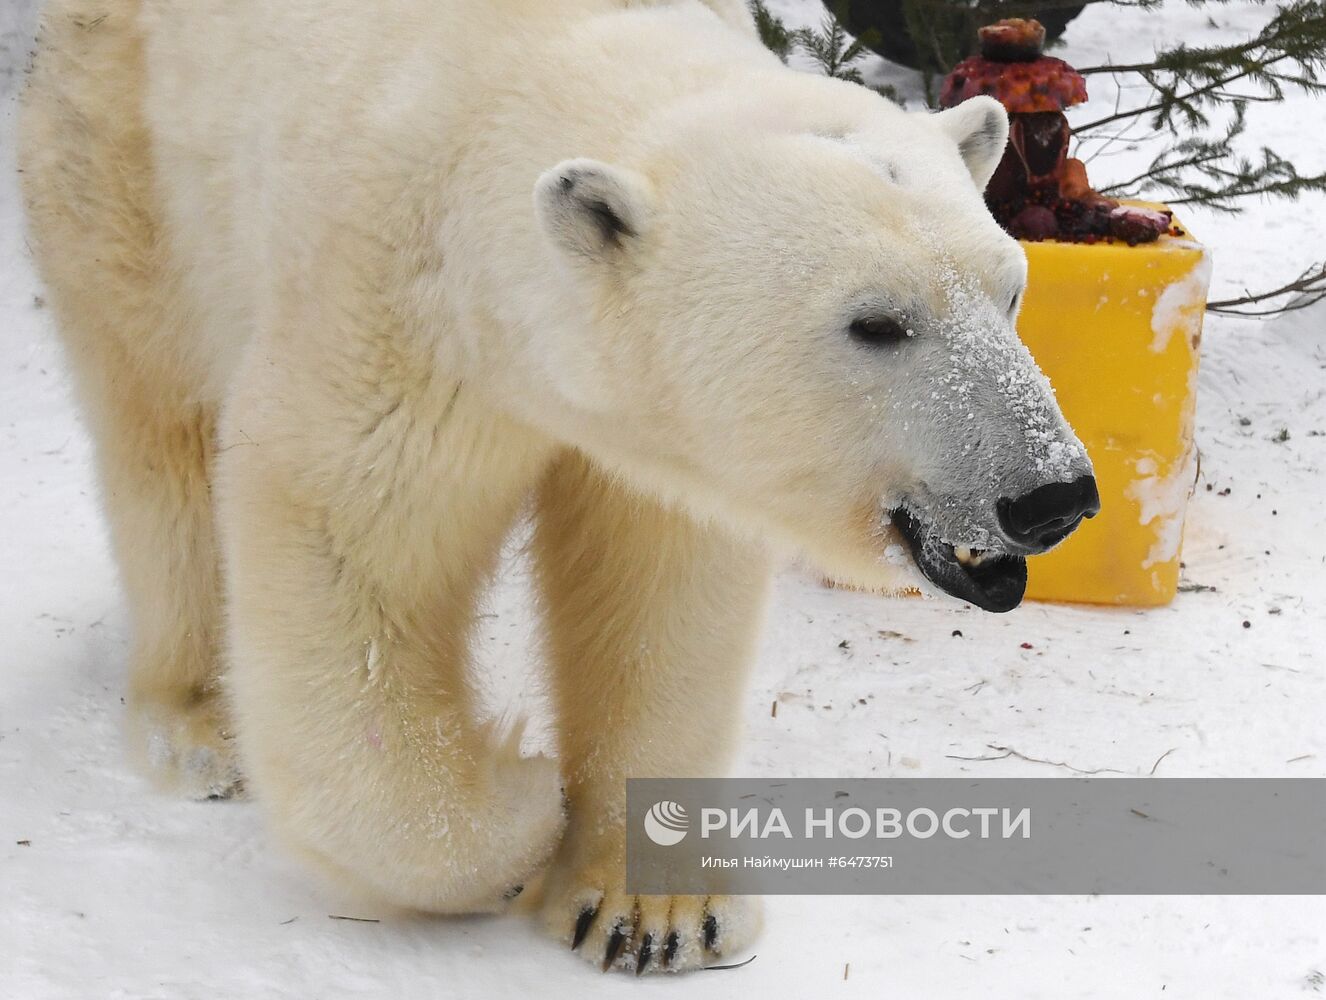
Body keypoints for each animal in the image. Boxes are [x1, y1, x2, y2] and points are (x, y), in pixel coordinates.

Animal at [20, 0, 1097, 976]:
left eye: (1010, 290)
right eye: (876, 322)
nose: (1052, 493)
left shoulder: (647, 437)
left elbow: (658, 598)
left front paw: (651, 914)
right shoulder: (391, 324)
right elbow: (341, 557)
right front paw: (520, 801)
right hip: (125, 155)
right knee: (158, 422)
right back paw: (201, 723)